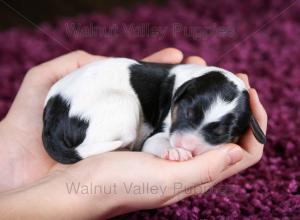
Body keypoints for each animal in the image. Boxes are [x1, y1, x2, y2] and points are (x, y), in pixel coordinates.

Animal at [41, 57, 264, 164]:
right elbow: (156, 142)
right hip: (123, 103)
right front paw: (174, 151)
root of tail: (50, 119)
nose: (184, 146)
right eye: (187, 113)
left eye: (222, 134)